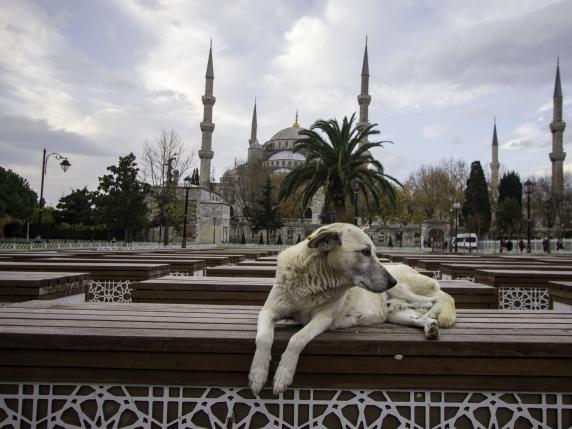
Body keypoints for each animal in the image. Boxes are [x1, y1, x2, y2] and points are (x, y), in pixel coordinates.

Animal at [249, 224, 456, 394]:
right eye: (365, 252)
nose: (392, 281)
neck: (312, 281)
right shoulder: (268, 311)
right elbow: (263, 338)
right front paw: (258, 373)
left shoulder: (322, 318)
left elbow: (296, 339)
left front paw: (283, 374)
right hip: (396, 315)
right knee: (419, 315)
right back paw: (429, 326)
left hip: (405, 290)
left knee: (438, 298)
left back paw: (432, 312)